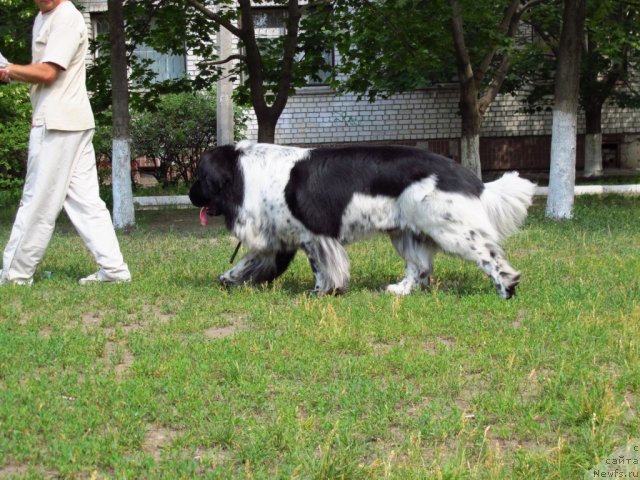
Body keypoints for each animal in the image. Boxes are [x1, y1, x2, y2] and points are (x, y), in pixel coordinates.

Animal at [189, 141, 536, 298]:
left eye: (200, 178)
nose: (191, 196)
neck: (247, 175)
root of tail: (468, 176)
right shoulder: (279, 240)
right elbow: (247, 264)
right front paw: (227, 279)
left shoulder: (314, 236)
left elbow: (323, 269)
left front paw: (321, 293)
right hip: (406, 232)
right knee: (420, 267)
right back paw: (400, 291)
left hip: (450, 228)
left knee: (489, 256)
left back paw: (506, 287)